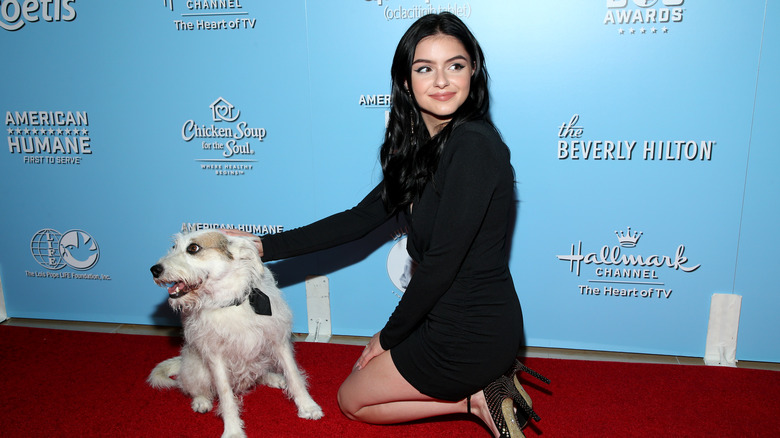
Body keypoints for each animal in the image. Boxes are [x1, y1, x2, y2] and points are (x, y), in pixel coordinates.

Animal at [148, 229, 322, 438]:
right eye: (174, 247)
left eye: (193, 248)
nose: (154, 270)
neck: (230, 302)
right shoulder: (215, 357)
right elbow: (225, 395)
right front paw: (232, 430)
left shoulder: (278, 341)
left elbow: (294, 375)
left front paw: (307, 406)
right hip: (197, 368)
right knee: (190, 385)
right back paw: (201, 400)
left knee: (260, 373)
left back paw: (275, 378)